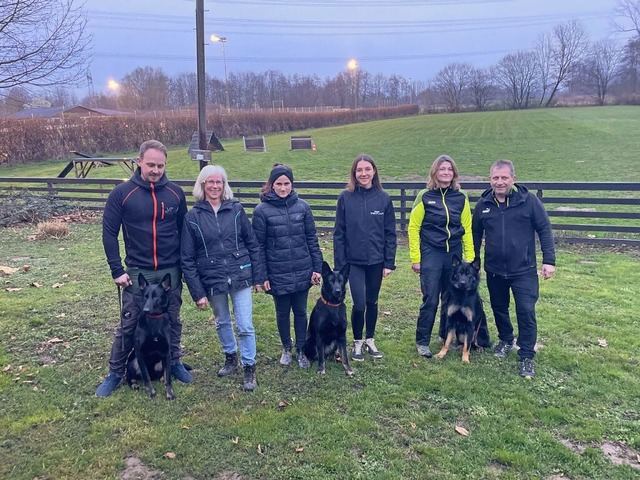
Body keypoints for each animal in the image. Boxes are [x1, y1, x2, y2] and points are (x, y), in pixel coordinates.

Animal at [126, 272, 175, 400]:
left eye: (156, 297)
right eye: (145, 296)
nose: (146, 310)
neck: (154, 320)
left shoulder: (167, 353)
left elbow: (168, 377)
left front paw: (169, 393)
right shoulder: (139, 353)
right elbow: (145, 376)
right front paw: (151, 392)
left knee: (163, 374)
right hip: (133, 363)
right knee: (130, 378)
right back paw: (134, 384)